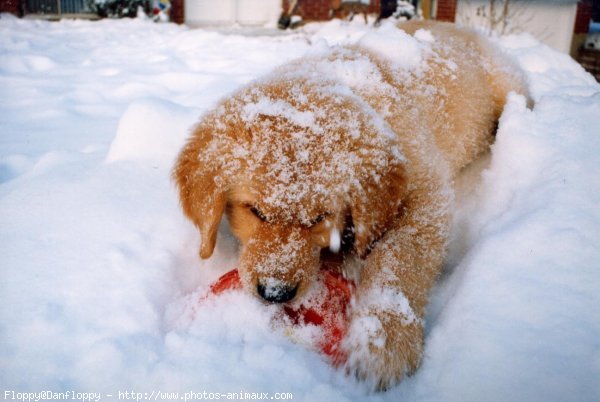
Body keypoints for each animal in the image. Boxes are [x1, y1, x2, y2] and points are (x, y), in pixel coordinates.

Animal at [172, 20, 524, 388]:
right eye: (254, 211)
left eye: (321, 217)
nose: (275, 293)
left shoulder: (428, 192)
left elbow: (402, 257)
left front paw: (384, 339)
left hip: (506, 79)